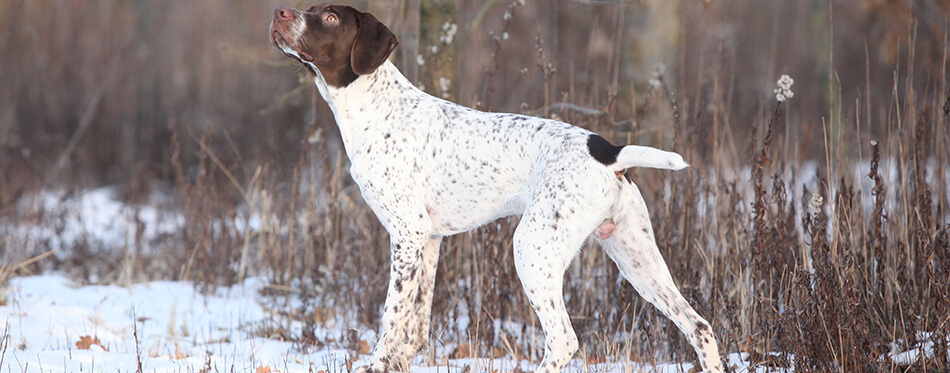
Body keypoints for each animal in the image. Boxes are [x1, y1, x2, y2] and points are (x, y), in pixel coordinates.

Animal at [268, 3, 720, 372]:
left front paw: (377, 363)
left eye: (330, 18)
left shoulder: (406, 234)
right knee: (699, 325)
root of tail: (608, 151)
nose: (279, 12)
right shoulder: (427, 241)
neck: (376, 109)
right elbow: (415, 327)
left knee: (563, 341)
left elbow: (391, 320)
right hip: (637, 259)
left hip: (533, 248)